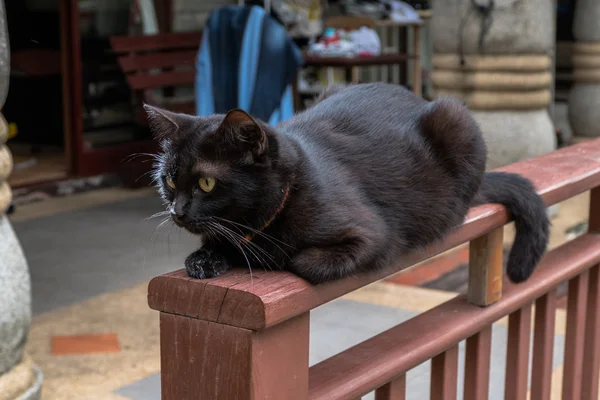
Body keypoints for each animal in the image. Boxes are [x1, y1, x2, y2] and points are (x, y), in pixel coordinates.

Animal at [145, 81, 548, 282]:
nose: (177, 211)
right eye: (169, 179)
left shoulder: (372, 236)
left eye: (205, 183)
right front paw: (205, 258)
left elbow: (303, 261)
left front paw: (268, 257)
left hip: (456, 119)